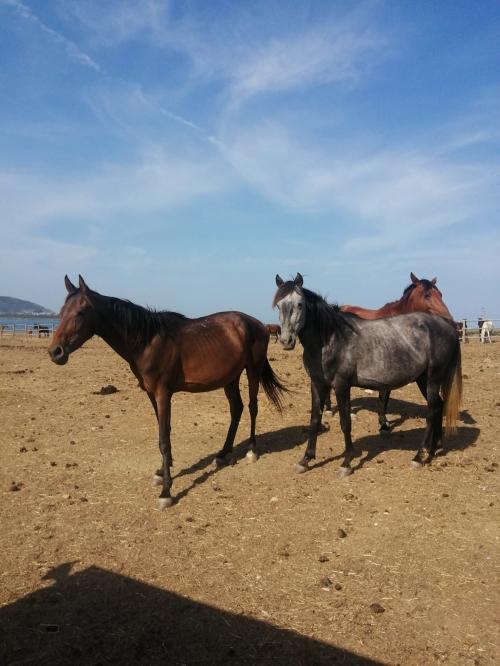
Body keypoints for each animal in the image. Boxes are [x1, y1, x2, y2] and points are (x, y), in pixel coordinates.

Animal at [49, 274, 290, 508]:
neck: (148, 342)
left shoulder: (163, 393)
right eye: (61, 312)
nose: (55, 352)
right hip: (230, 378)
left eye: (80, 312)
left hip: (253, 370)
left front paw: (166, 491)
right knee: (236, 409)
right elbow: (163, 432)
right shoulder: (151, 394)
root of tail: (259, 325)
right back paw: (223, 454)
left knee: (252, 407)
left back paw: (251, 450)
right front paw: (163, 472)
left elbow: (163, 437)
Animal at [324, 272, 454, 428]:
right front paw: (383, 422)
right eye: (427, 294)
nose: (450, 321)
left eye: (441, 294)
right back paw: (328, 408)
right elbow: (384, 395)